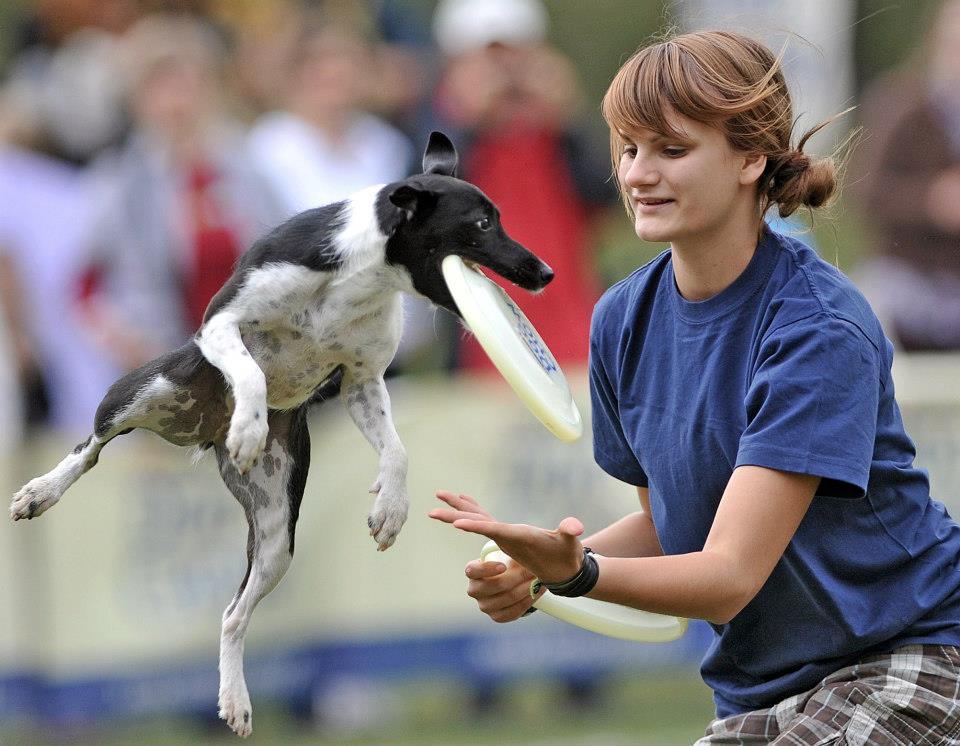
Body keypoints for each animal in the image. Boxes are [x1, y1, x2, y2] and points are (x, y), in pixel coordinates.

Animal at [9, 132, 553, 737]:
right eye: (482, 224)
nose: (544, 271)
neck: (362, 277)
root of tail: (205, 432)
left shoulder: (362, 383)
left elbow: (397, 449)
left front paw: (391, 507)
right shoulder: (222, 324)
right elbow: (249, 372)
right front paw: (249, 426)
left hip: (275, 537)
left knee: (232, 616)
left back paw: (236, 700)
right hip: (146, 387)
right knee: (91, 447)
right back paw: (42, 491)